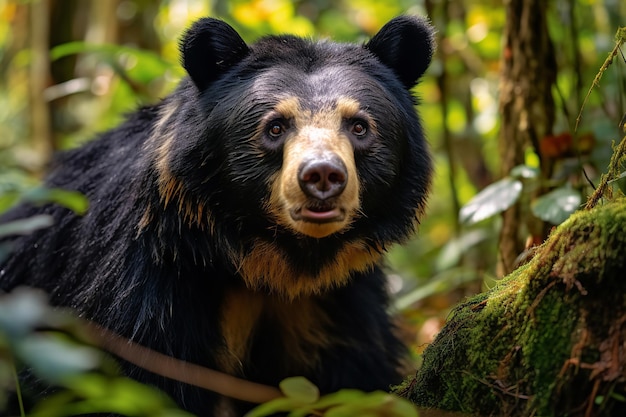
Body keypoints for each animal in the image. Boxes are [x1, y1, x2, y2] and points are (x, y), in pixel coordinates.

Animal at [0, 14, 434, 416]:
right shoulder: (143, 284)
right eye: (275, 127)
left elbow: (355, 376)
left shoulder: (338, 303)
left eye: (359, 126)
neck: (269, 264)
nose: (323, 176)